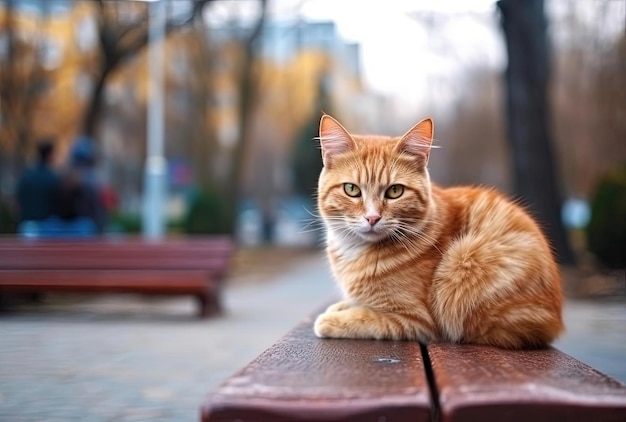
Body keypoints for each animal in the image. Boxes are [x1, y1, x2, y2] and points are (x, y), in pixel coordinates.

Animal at [314, 113, 564, 348]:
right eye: (351, 190)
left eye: (395, 191)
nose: (372, 218)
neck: (355, 250)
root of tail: (556, 320)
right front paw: (341, 306)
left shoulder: (415, 320)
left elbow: (366, 317)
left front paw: (331, 320)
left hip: (467, 258)